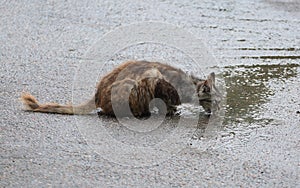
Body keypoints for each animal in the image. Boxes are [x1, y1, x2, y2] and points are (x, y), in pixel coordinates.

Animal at [19, 60, 219, 117]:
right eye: (216, 102)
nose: (218, 110)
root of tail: (97, 94)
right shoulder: (160, 84)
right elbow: (165, 101)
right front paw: (170, 110)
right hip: (138, 83)